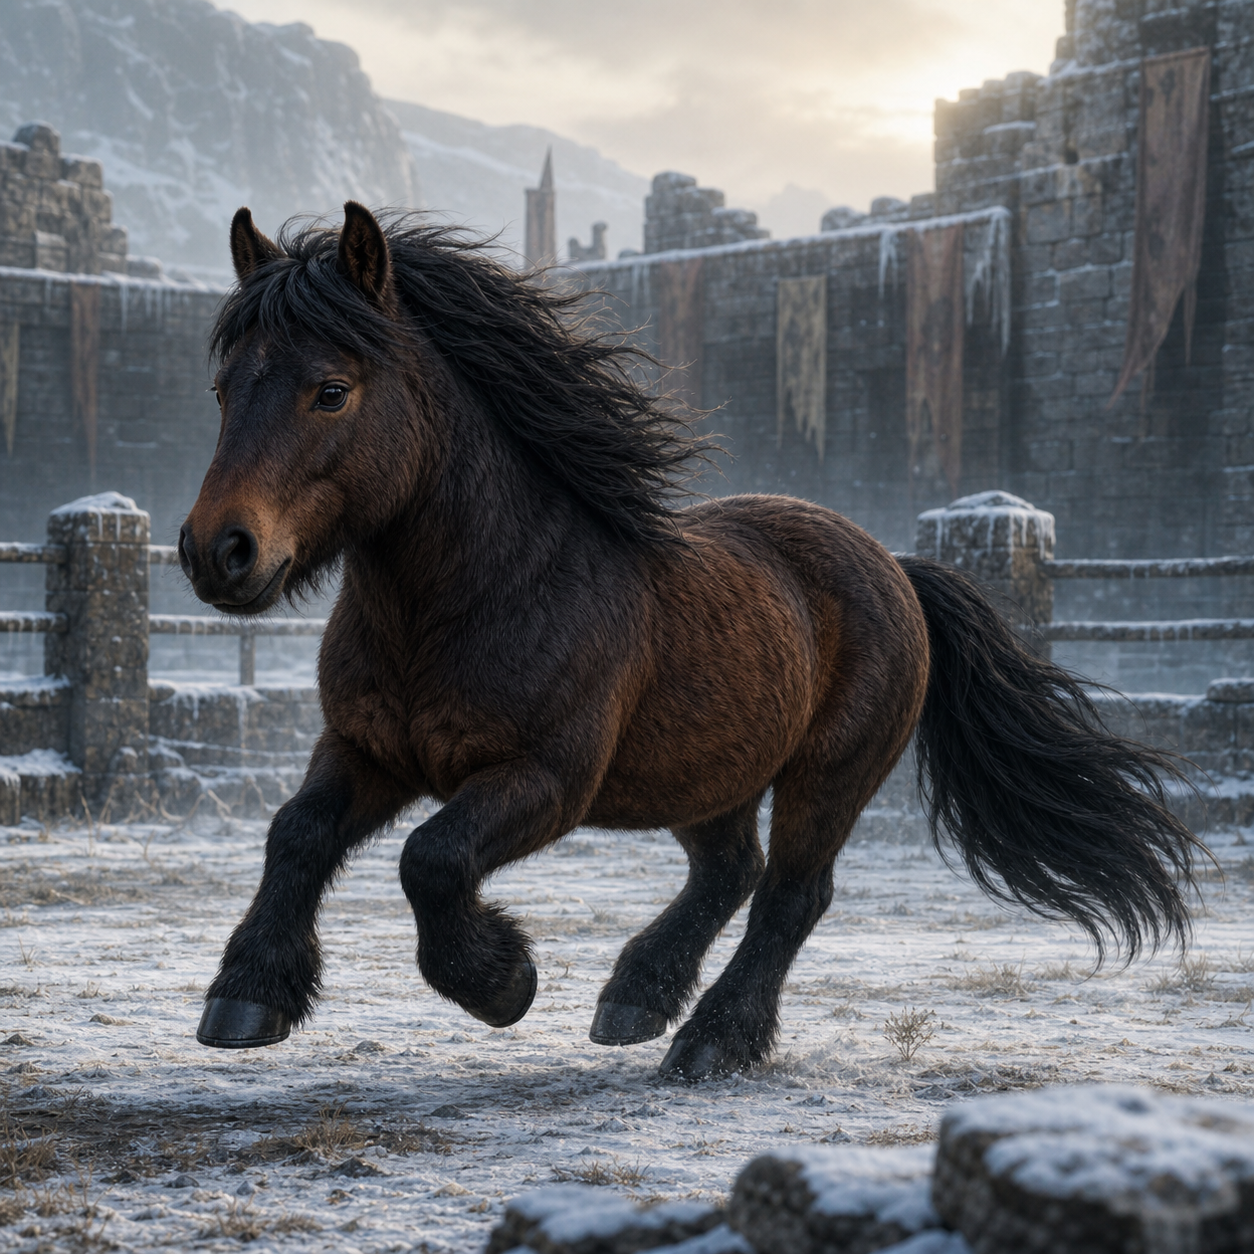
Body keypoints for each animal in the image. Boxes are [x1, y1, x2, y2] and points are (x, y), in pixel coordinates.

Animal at [179, 201, 1203, 1080]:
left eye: (331, 391)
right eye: (222, 388)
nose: (218, 552)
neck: (476, 594)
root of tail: (895, 567)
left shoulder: (546, 778)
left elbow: (430, 860)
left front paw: (504, 982)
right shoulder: (366, 748)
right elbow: (297, 831)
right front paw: (247, 998)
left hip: (830, 773)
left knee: (790, 894)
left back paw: (711, 1041)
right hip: (709, 771)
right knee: (729, 870)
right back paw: (635, 998)